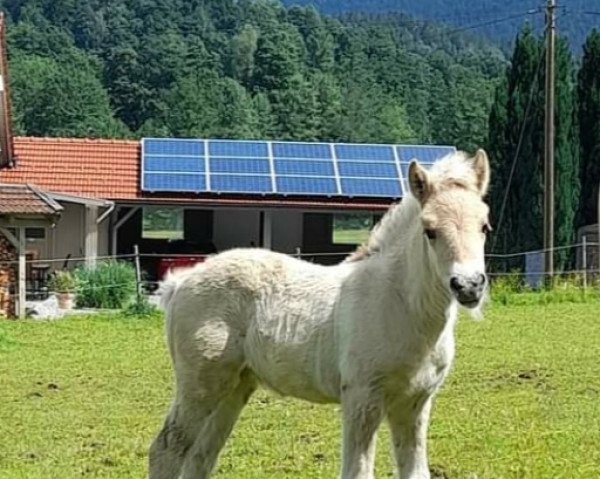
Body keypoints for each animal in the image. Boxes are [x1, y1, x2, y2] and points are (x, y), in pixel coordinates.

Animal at [150, 150, 492, 479]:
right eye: (429, 231)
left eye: (485, 226)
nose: (469, 285)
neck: (401, 307)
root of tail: (180, 282)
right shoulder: (362, 396)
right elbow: (357, 472)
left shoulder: (416, 401)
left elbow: (416, 472)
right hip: (199, 384)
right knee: (166, 449)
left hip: (234, 386)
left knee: (200, 456)